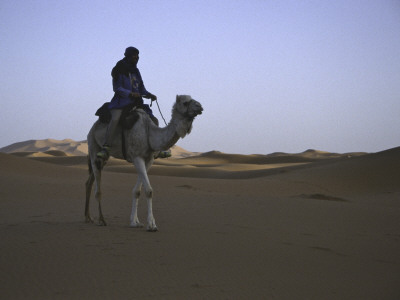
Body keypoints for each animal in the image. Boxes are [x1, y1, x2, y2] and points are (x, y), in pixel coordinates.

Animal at [85, 95, 203, 231]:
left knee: (89, 181)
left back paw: (88, 217)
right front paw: (151, 225)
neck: (149, 132)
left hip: (103, 158)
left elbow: (137, 191)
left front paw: (135, 222)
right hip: (93, 146)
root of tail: (93, 128)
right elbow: (148, 190)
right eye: (185, 103)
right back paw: (101, 219)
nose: (200, 106)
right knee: (97, 186)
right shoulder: (137, 157)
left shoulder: (149, 159)